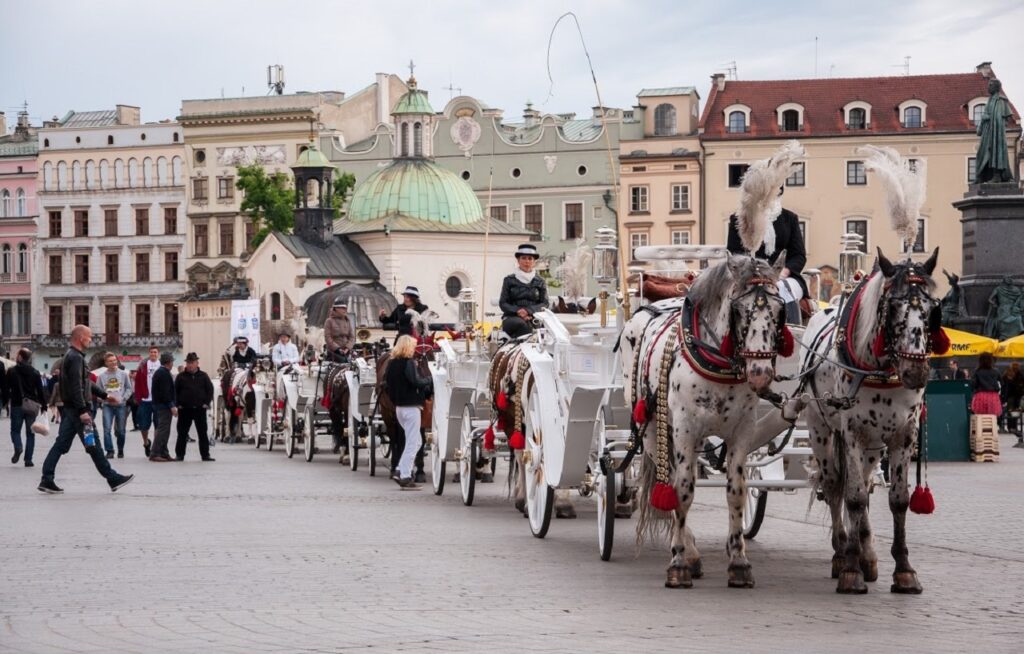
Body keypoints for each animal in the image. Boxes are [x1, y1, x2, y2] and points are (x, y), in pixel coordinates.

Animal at [614, 250, 790, 589]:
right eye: (739, 310)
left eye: (779, 310)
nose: (760, 374)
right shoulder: (685, 429)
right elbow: (682, 490)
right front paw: (680, 561)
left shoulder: (742, 431)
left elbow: (736, 490)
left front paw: (739, 561)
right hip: (652, 429)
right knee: (669, 479)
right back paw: (689, 549)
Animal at [802, 247, 937, 597]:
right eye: (893, 308)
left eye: (932, 308)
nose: (916, 373)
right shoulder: (851, 434)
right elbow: (853, 497)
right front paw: (850, 571)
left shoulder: (903, 435)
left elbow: (898, 499)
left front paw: (903, 571)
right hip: (821, 429)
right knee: (836, 486)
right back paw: (842, 553)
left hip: (874, 446)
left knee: (863, 482)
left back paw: (866, 553)